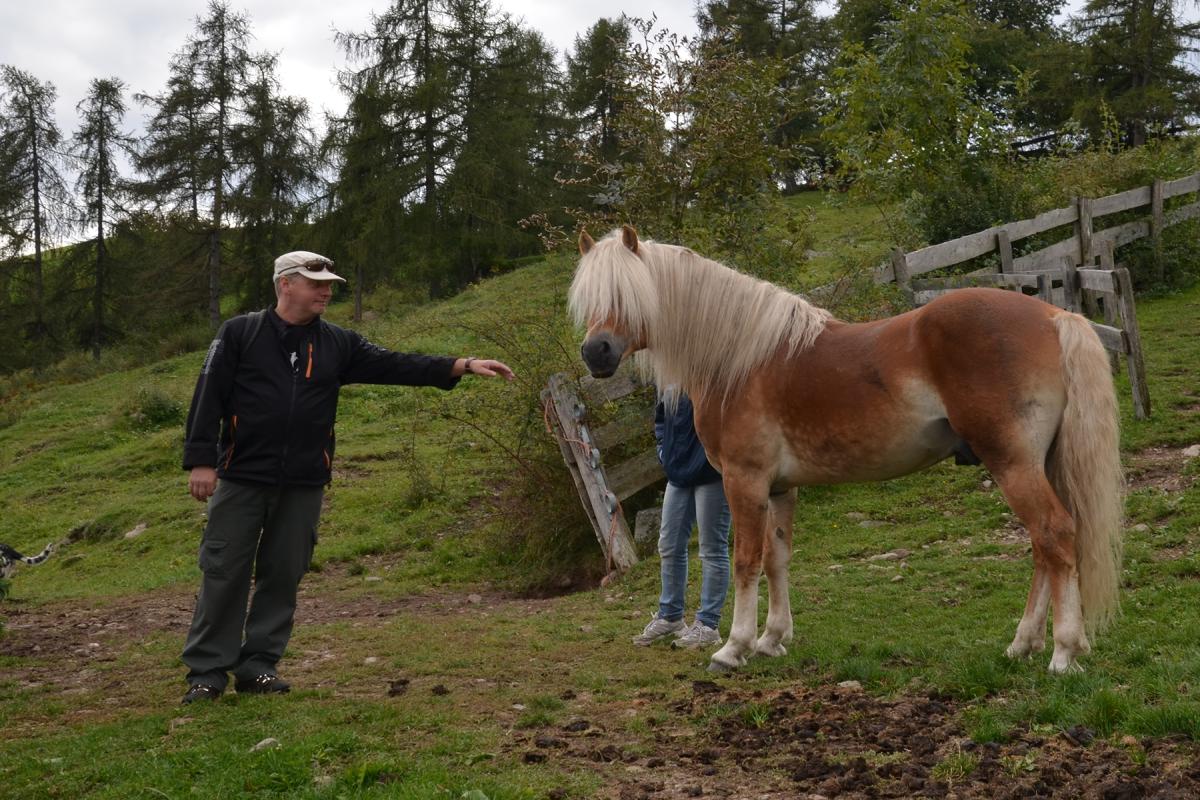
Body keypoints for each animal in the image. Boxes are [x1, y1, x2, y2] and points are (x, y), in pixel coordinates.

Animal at [571, 226, 1123, 676]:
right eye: (589, 298)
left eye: (626, 292)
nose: (596, 352)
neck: (739, 358)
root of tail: (1054, 314)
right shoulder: (780, 489)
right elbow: (777, 558)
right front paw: (773, 640)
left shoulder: (743, 481)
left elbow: (746, 560)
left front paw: (734, 647)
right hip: (1033, 464)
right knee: (1044, 547)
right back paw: (1022, 644)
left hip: (1011, 462)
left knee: (1054, 534)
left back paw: (1063, 651)